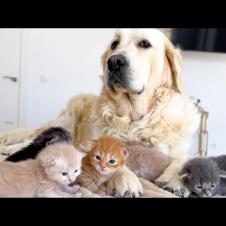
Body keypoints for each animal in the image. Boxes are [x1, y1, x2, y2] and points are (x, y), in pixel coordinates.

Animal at [0, 29, 201, 197]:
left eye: (145, 44)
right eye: (114, 44)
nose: (113, 61)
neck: (134, 120)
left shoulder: (177, 148)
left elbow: (185, 158)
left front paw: (176, 180)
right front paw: (127, 180)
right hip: (66, 123)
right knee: (34, 137)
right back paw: (10, 148)